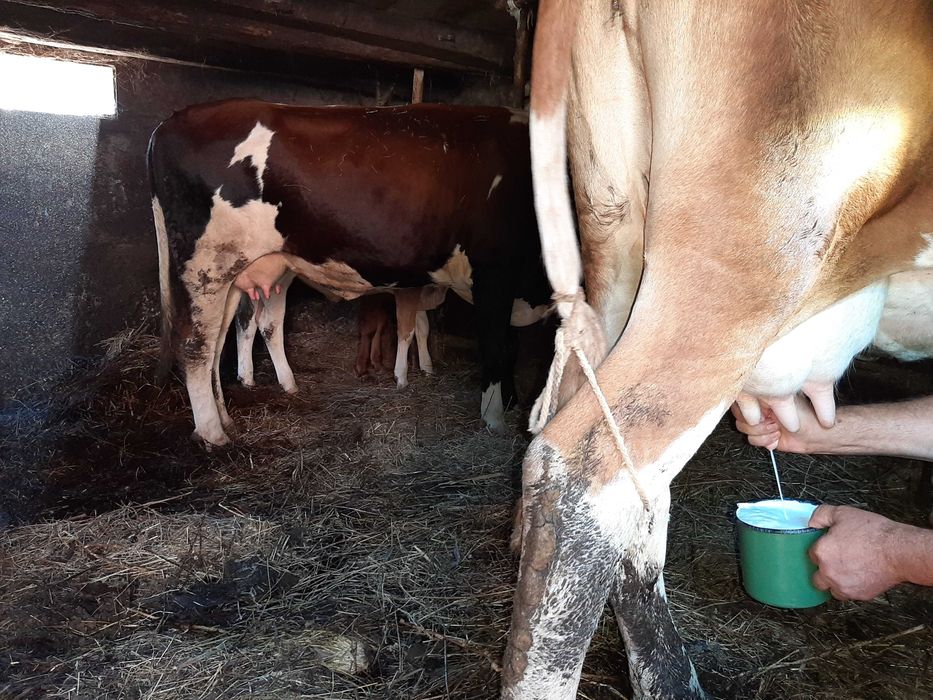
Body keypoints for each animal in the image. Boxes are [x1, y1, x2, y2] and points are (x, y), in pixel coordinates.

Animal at [149, 100, 550, 446]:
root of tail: (169, 123)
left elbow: (512, 347)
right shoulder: (494, 273)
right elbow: (497, 347)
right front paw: (495, 420)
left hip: (241, 273)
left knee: (223, 341)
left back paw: (231, 415)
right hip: (206, 266)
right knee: (196, 346)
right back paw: (213, 433)